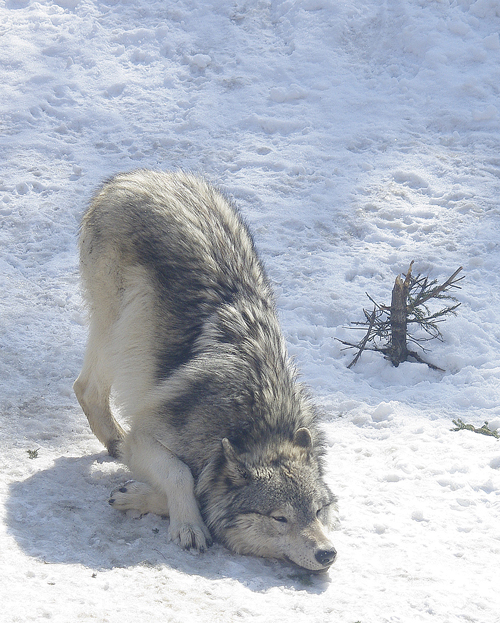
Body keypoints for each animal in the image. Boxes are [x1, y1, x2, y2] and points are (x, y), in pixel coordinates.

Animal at [74, 169, 338, 572]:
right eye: (280, 518)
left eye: (318, 511)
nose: (328, 553)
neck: (258, 427)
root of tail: (135, 176)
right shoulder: (145, 437)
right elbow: (180, 475)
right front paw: (188, 524)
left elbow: (202, 496)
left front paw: (139, 496)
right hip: (117, 329)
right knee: (86, 388)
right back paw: (114, 441)